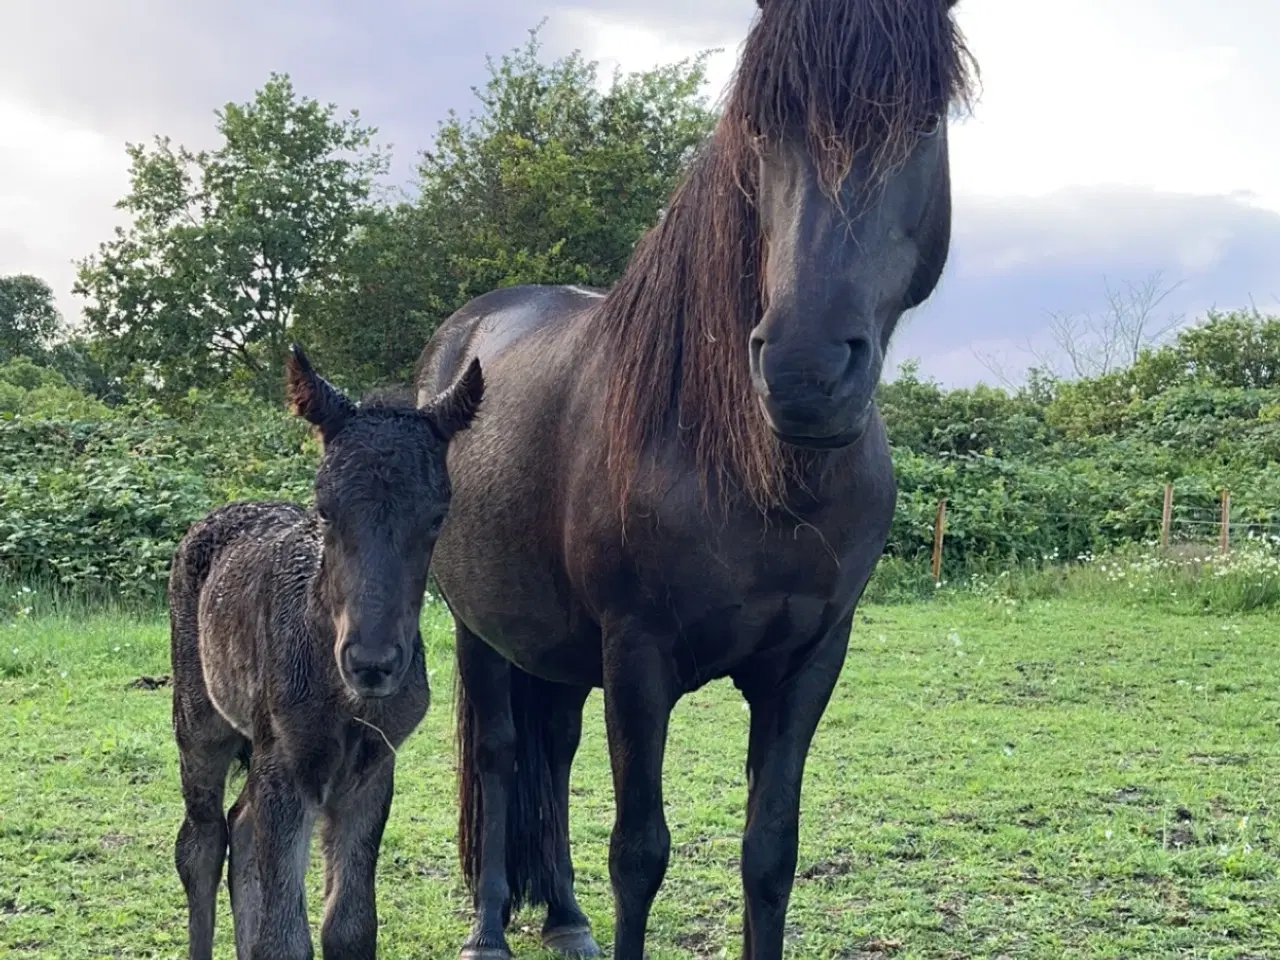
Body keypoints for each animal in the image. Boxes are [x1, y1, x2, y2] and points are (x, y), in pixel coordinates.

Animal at [170, 348, 483, 960]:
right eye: (324, 508)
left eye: (437, 516)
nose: (372, 663)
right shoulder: (288, 765)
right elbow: (285, 940)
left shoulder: (373, 770)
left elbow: (350, 927)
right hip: (201, 724)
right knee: (201, 842)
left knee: (242, 827)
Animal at [414, 0, 972, 957]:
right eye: (762, 125)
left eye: (926, 120)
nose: (804, 371)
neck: (761, 480)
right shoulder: (638, 660)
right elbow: (640, 854)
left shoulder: (808, 664)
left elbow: (770, 853)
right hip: (479, 630)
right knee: (500, 756)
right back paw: (489, 928)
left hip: (556, 648)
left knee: (553, 752)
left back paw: (565, 919)